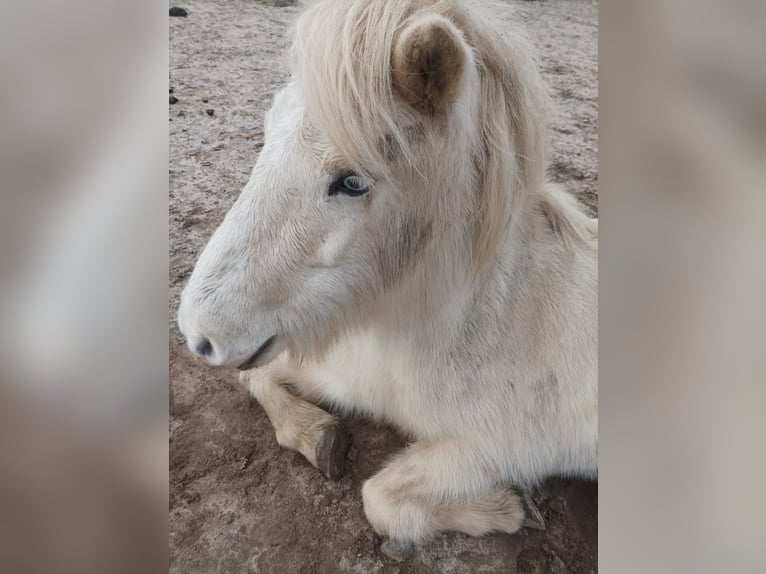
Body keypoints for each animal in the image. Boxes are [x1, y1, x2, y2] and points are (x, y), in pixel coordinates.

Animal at [177, 0, 597, 557]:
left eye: (353, 181)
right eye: (266, 134)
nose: (197, 333)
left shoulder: (505, 449)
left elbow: (380, 496)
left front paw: (503, 510)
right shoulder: (344, 376)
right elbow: (258, 377)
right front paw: (318, 434)